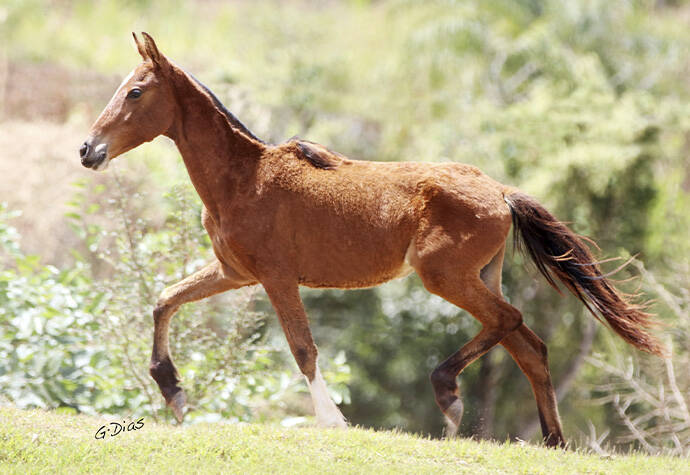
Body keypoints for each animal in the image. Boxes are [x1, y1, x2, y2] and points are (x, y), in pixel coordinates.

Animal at [76, 32, 660, 446]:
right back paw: (552, 440)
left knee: (510, 322)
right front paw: (173, 392)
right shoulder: (234, 274)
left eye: (135, 91)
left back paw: (449, 395)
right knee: (528, 344)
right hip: (478, 277)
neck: (243, 179)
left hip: (444, 277)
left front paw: (333, 421)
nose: (87, 149)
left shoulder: (275, 278)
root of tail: (499, 190)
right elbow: (163, 301)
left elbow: (303, 348)